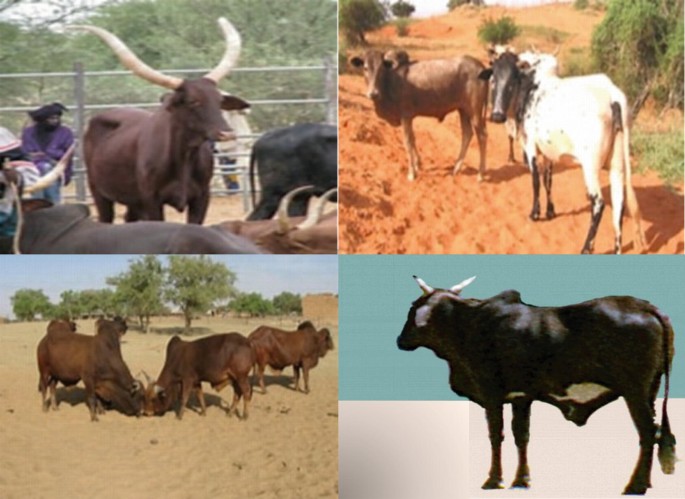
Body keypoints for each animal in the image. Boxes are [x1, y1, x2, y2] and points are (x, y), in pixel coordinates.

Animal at [68, 18, 250, 224]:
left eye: (219, 100)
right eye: (193, 101)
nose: (227, 133)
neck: (184, 157)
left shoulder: (202, 197)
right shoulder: (151, 199)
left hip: (132, 201)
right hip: (100, 193)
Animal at [349, 49, 489, 181]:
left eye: (381, 69)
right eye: (365, 68)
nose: (373, 93)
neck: (390, 80)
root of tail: (481, 67)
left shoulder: (405, 116)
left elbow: (407, 142)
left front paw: (411, 172)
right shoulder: (409, 118)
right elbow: (413, 138)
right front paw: (417, 164)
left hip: (475, 112)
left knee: (482, 136)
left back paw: (480, 174)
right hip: (463, 110)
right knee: (467, 134)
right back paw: (456, 168)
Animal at [397, 275, 677, 495]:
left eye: (413, 307)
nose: (400, 340)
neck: (468, 326)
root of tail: (645, 306)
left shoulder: (491, 393)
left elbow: (496, 435)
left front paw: (493, 480)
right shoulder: (521, 397)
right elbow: (521, 435)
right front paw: (521, 480)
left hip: (635, 392)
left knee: (647, 433)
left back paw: (635, 486)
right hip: (650, 390)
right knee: (654, 432)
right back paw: (645, 483)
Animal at [480, 51, 645, 254]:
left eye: (512, 81)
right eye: (493, 79)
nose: (496, 115)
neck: (530, 88)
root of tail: (613, 96)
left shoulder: (531, 146)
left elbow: (535, 181)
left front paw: (535, 213)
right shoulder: (548, 152)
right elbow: (547, 180)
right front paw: (550, 211)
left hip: (590, 167)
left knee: (598, 203)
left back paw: (586, 247)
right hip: (617, 166)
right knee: (619, 204)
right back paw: (617, 249)